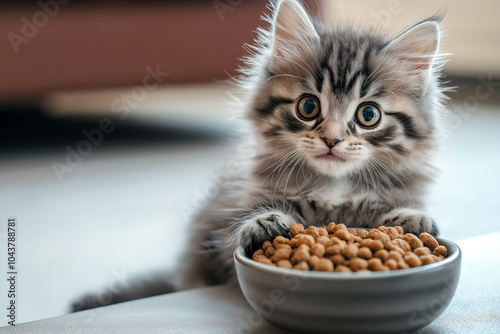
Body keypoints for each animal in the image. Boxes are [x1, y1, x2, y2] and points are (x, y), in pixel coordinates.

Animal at [177, 0, 450, 290]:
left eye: (368, 115)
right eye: (308, 107)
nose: (331, 139)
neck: (333, 187)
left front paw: (411, 218)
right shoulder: (218, 232)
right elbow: (236, 233)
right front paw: (263, 222)